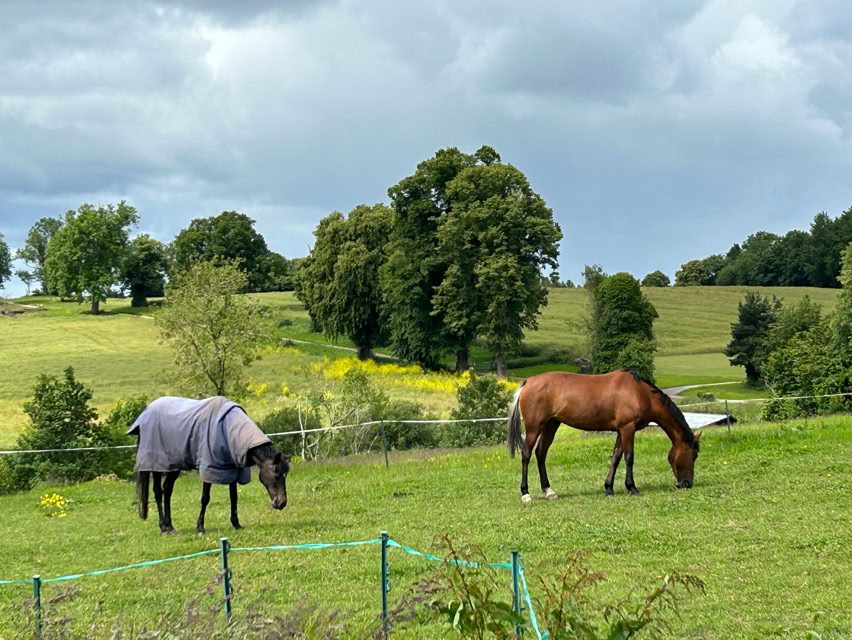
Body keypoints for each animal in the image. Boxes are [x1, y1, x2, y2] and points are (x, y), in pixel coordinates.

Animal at [129, 396, 291, 535]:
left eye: (285, 475)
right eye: (276, 475)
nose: (282, 503)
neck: (227, 429)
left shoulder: (232, 469)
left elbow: (234, 497)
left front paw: (236, 524)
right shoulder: (209, 468)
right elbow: (205, 498)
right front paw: (200, 527)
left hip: (173, 466)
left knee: (167, 490)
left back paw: (170, 526)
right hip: (156, 464)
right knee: (158, 492)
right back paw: (163, 528)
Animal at [507, 370, 700, 503]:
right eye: (694, 456)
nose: (687, 483)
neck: (640, 392)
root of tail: (528, 382)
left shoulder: (621, 430)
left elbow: (616, 457)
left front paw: (609, 489)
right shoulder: (628, 428)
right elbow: (629, 458)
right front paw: (632, 488)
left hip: (551, 425)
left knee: (541, 454)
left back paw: (549, 491)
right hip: (534, 427)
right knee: (526, 454)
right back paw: (526, 493)